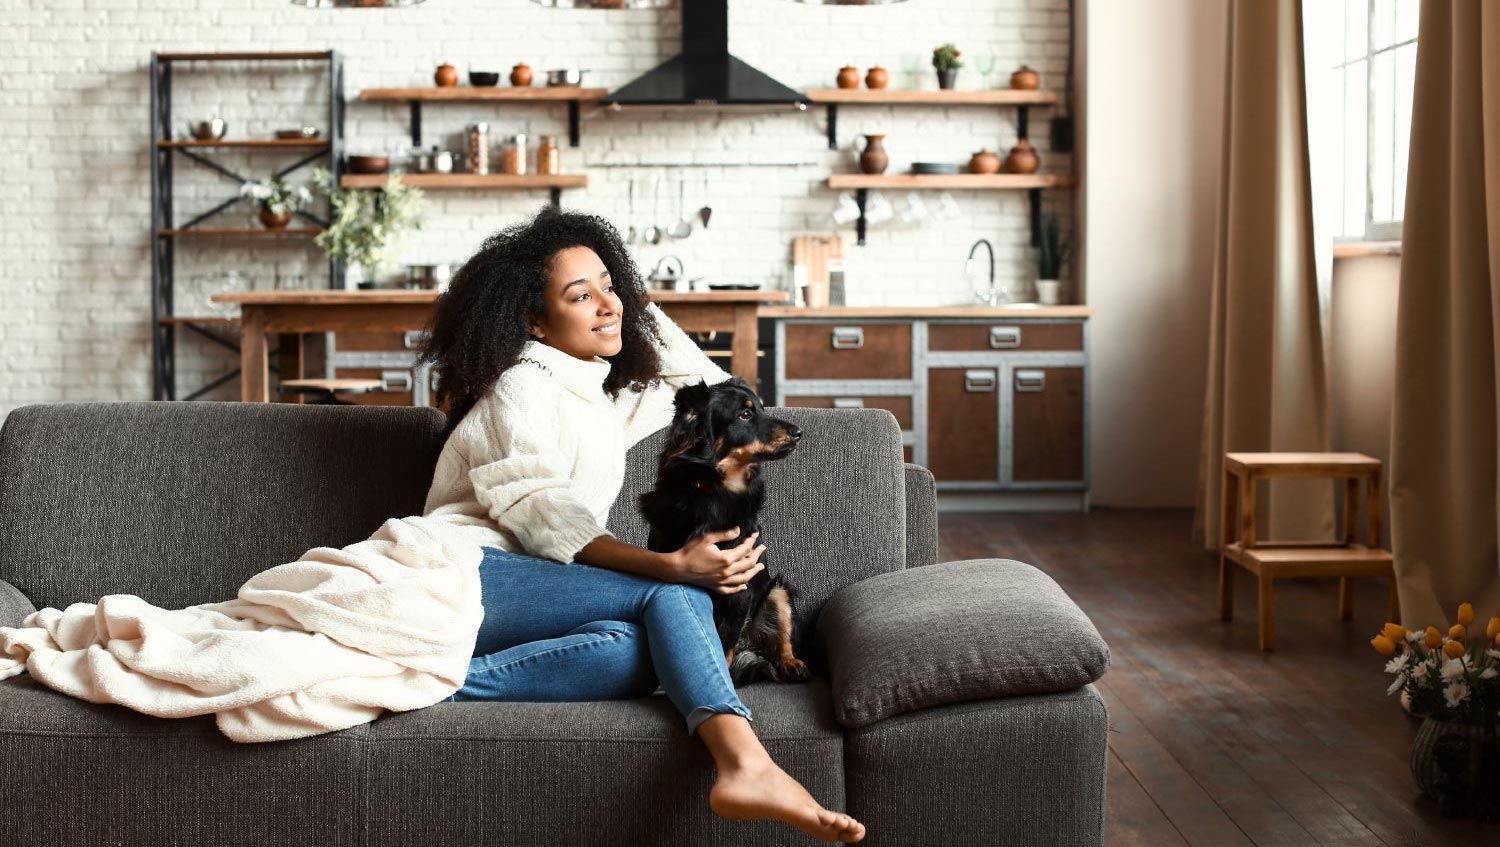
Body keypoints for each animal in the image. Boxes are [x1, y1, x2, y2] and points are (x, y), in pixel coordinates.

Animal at [639, 379, 816, 683]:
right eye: (745, 415)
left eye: (762, 408)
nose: (798, 433)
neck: (713, 489)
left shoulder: (740, 587)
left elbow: (724, 646)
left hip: (776, 591)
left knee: (780, 638)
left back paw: (791, 663)